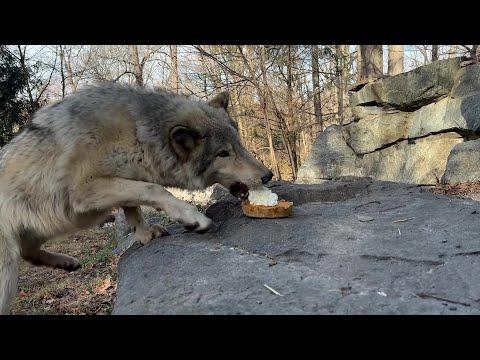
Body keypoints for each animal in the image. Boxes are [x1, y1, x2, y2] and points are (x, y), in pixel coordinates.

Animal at [0, 83, 272, 314]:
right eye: (223, 154)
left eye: (239, 145)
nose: (268, 175)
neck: (137, 133)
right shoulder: (85, 189)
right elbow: (153, 190)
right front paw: (193, 218)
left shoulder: (125, 179)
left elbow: (133, 206)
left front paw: (144, 235)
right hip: (8, 272)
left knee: (29, 252)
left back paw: (66, 262)